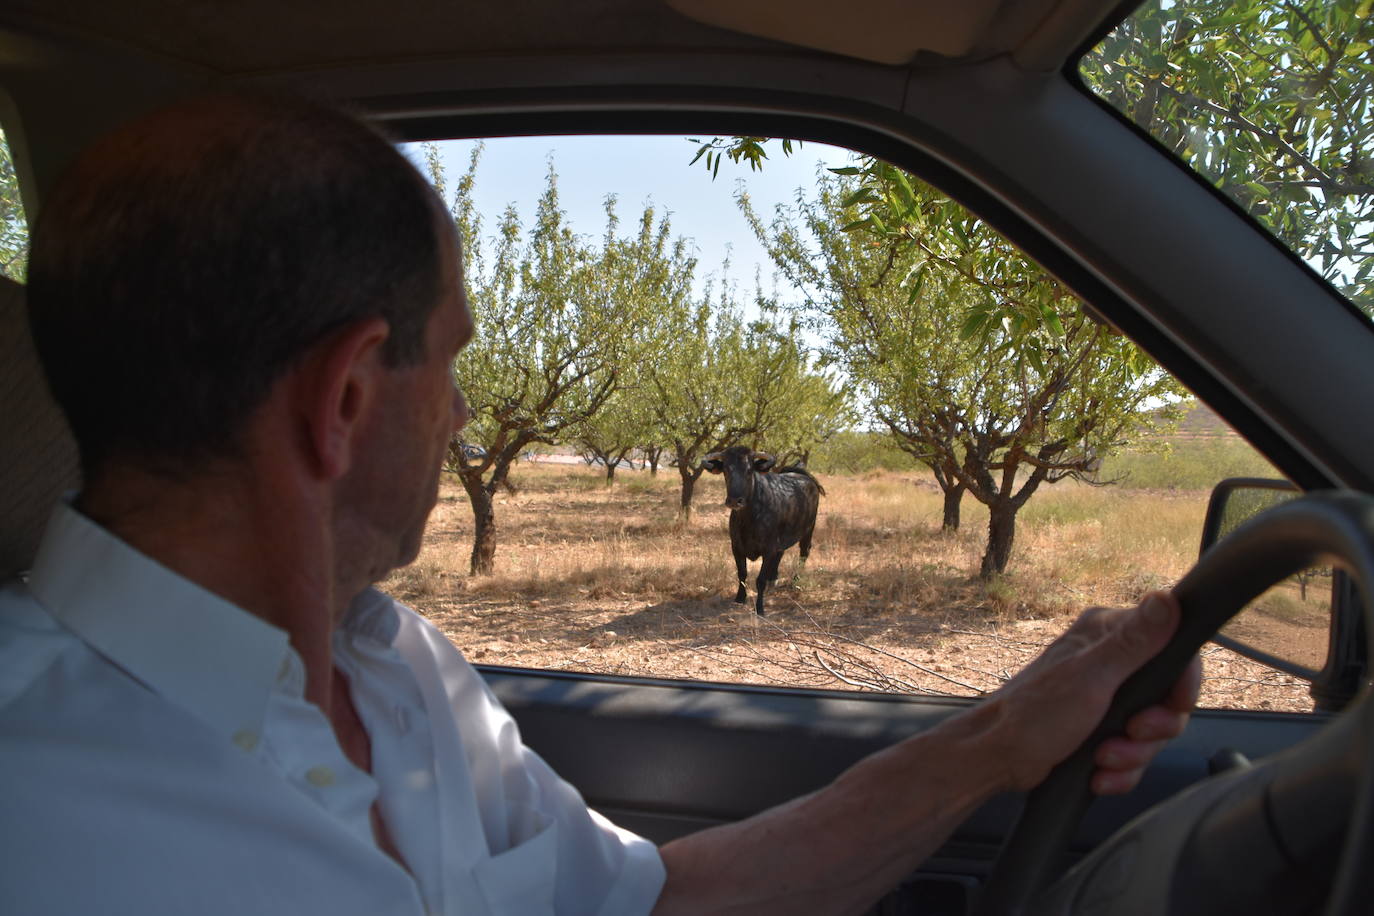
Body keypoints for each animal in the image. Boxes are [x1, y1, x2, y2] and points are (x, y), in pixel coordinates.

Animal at [703, 444, 818, 615]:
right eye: (726, 470)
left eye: (749, 470)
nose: (734, 501)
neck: (748, 519)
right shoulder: (736, 547)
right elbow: (742, 574)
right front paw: (740, 598)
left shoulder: (768, 549)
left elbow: (760, 580)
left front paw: (759, 608)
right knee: (781, 553)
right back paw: (773, 579)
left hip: (808, 530)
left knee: (804, 553)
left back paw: (795, 581)